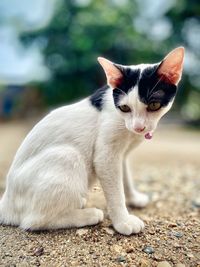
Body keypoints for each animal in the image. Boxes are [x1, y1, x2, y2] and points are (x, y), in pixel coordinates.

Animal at [0, 47, 184, 236]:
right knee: (34, 221)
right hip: (68, 156)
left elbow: (125, 178)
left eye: (154, 105)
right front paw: (123, 222)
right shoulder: (106, 156)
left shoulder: (121, 156)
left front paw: (133, 198)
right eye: (125, 108)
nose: (138, 127)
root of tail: (6, 202)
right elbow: (116, 192)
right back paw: (88, 215)